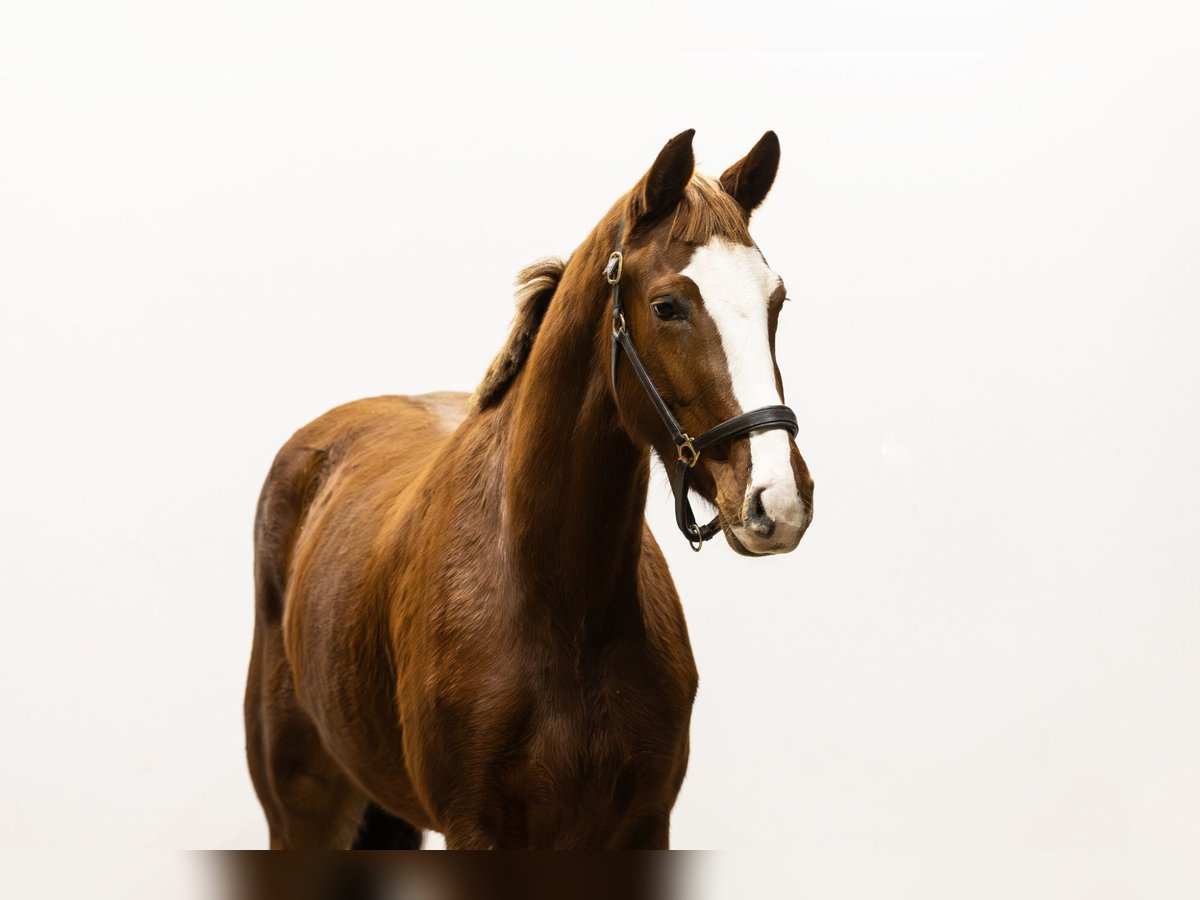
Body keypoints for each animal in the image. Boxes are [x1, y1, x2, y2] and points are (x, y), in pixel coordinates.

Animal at [248, 128, 820, 854]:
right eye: (667, 306)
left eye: (777, 301)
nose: (778, 498)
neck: (559, 601)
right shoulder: (477, 830)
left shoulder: (644, 825)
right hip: (302, 811)